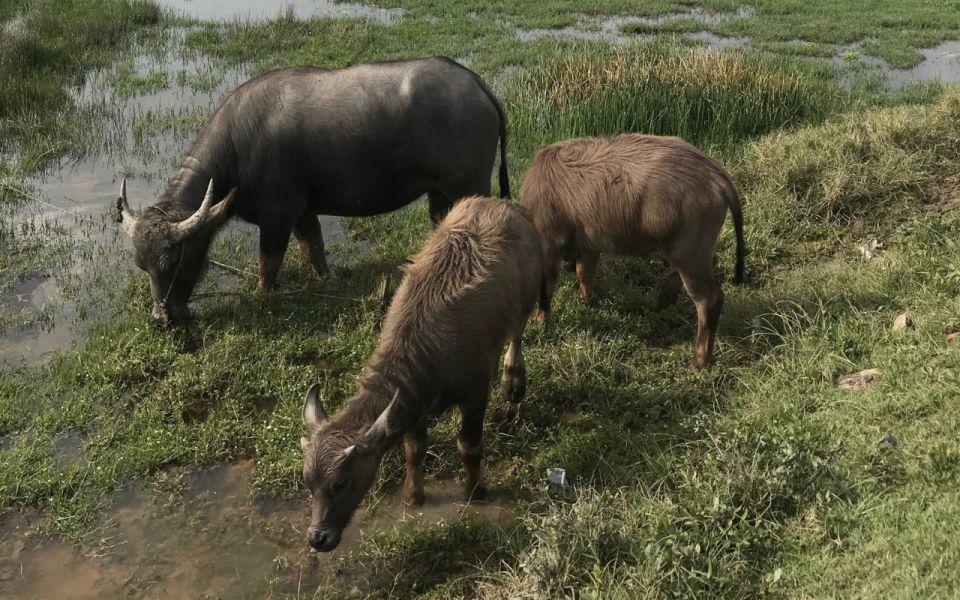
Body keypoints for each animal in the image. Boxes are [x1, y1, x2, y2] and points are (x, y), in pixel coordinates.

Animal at [115, 55, 510, 326]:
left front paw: (263, 295)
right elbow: (313, 247)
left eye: (172, 260)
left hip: (470, 185)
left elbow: (268, 262)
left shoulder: (278, 215)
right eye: (141, 264)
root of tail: (475, 84)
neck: (238, 149)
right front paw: (324, 278)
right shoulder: (303, 212)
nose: (162, 319)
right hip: (439, 192)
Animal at [300, 198, 544, 552]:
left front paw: (475, 491)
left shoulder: (475, 394)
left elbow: (468, 446)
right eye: (308, 482)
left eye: (342, 483)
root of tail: (503, 203)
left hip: (526, 298)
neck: (424, 350)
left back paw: (514, 378)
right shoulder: (412, 405)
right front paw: (413, 497)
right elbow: (414, 451)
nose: (318, 538)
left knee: (516, 332)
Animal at [520, 134, 748, 370]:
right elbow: (585, 274)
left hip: (689, 253)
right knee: (708, 266)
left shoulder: (549, 245)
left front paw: (540, 321)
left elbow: (546, 288)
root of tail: (715, 174)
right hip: (694, 251)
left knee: (709, 299)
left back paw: (698, 361)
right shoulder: (588, 246)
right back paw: (665, 296)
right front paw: (585, 301)